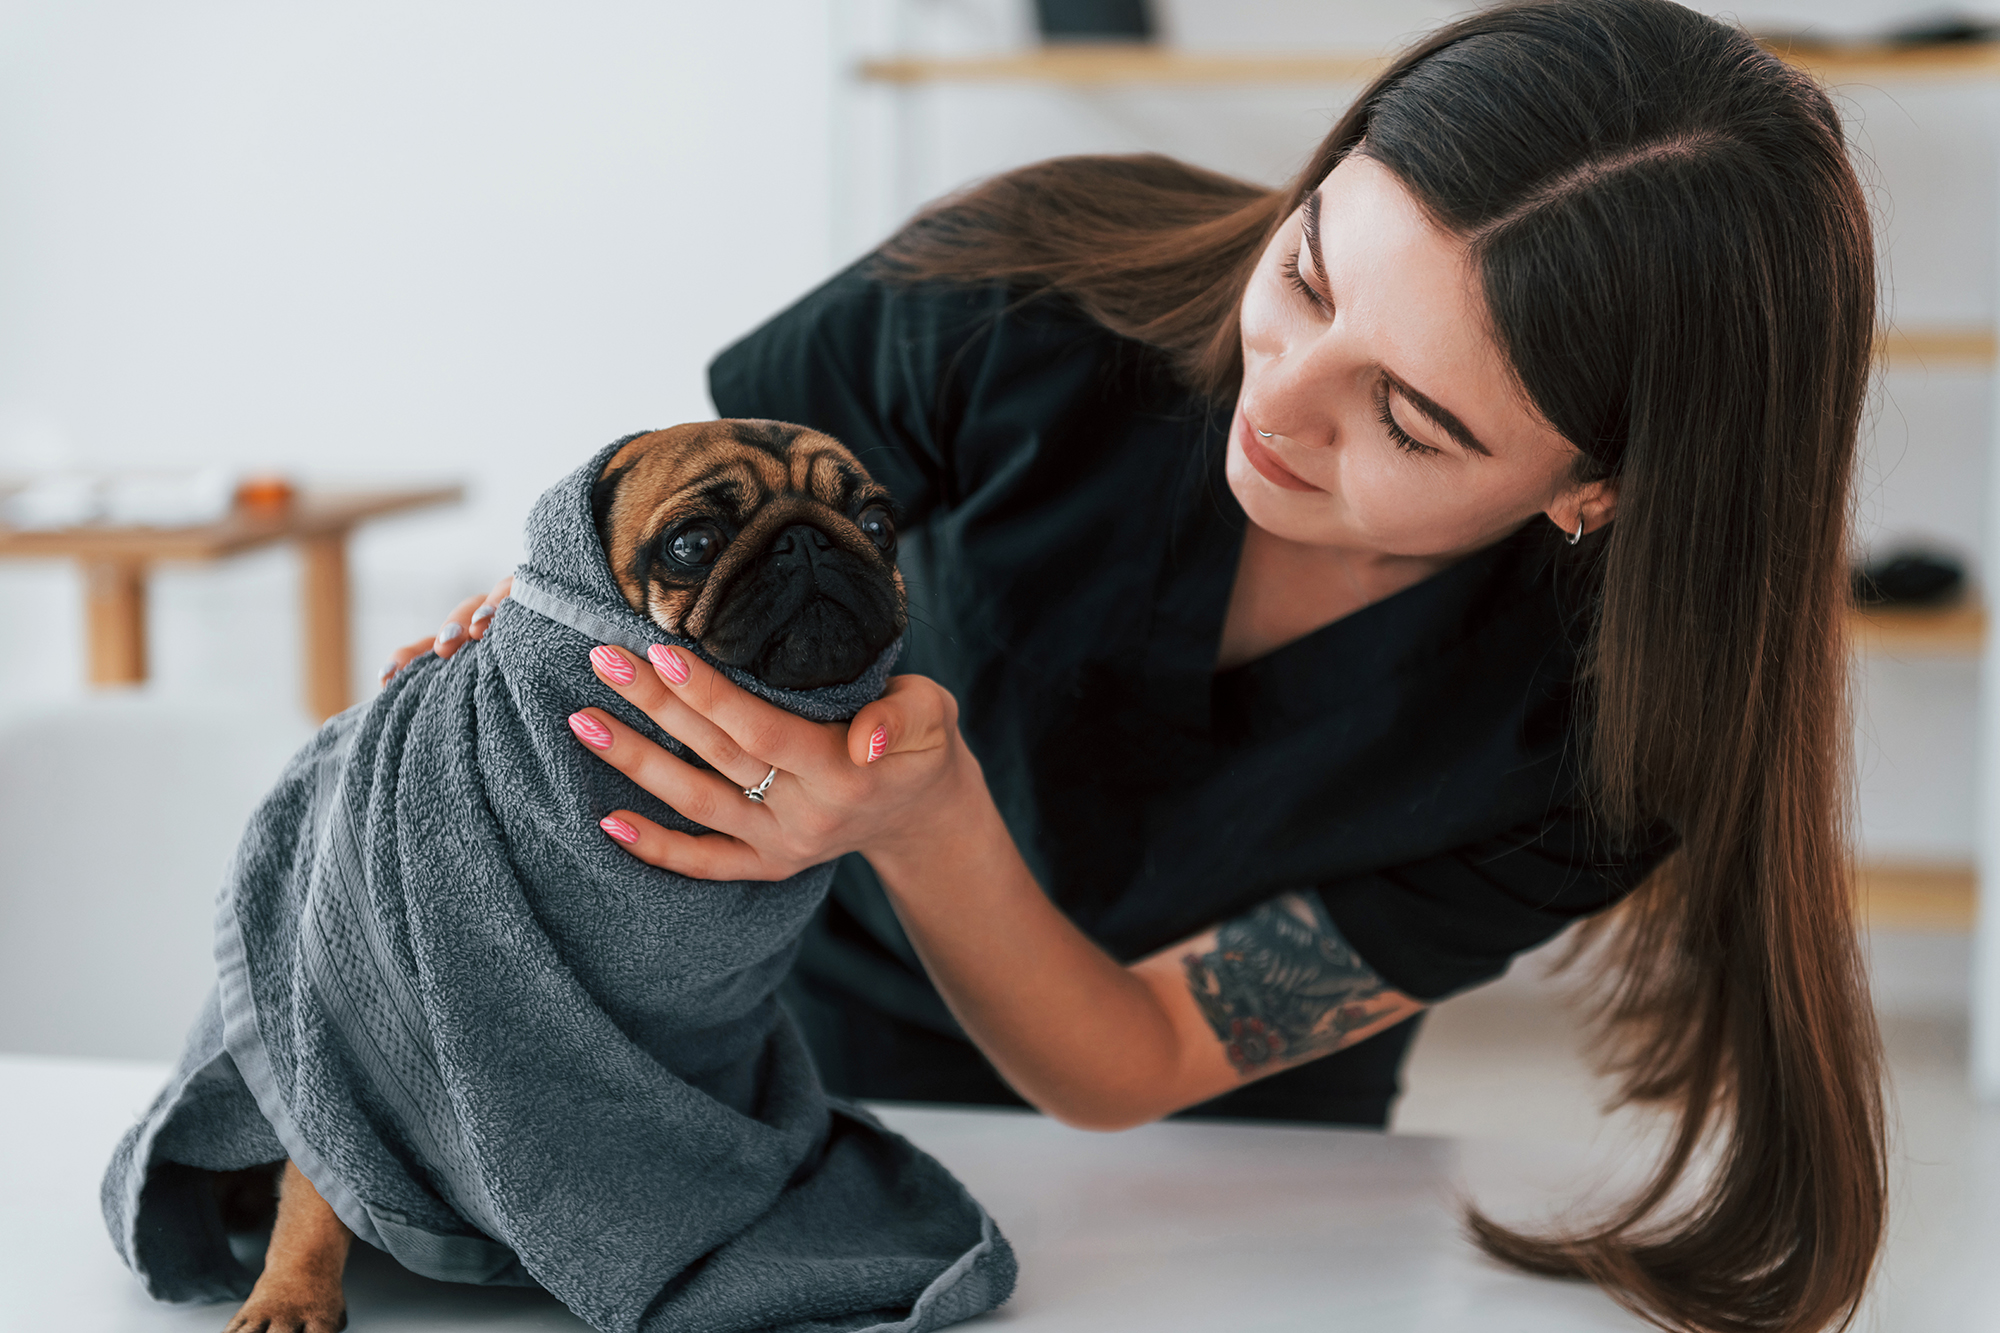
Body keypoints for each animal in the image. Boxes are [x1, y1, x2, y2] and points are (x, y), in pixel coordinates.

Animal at [217, 420, 908, 1328]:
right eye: (693, 543)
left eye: (878, 525)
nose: (810, 540)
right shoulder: (324, 1046)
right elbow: (315, 1188)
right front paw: (291, 1292)